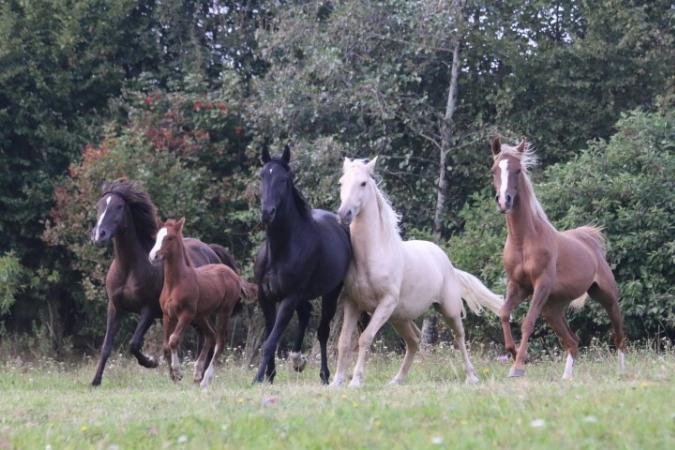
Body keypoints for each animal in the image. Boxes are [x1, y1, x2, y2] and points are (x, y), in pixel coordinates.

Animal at [90, 178, 237, 386]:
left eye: (119, 207)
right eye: (99, 206)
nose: (99, 236)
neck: (130, 267)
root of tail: (211, 249)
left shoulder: (149, 310)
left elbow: (134, 344)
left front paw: (152, 362)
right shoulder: (115, 307)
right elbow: (106, 346)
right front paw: (96, 381)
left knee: (209, 338)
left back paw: (200, 375)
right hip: (197, 315)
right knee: (206, 336)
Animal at [149, 218, 256, 387]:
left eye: (169, 238)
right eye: (156, 237)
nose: (153, 256)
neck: (176, 282)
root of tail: (234, 275)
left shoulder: (186, 314)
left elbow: (173, 340)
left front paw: (178, 372)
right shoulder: (167, 315)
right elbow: (166, 346)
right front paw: (174, 376)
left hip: (223, 311)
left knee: (220, 340)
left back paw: (205, 379)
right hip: (201, 316)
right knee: (211, 335)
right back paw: (198, 372)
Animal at [253, 145, 352, 384]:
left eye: (284, 179)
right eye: (262, 176)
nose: (267, 213)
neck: (280, 250)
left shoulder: (289, 298)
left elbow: (270, 341)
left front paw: (258, 378)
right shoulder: (265, 297)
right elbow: (270, 335)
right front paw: (269, 375)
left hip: (330, 293)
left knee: (323, 330)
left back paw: (323, 374)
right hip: (303, 295)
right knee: (306, 313)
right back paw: (297, 358)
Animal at [331, 157, 504, 387]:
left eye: (363, 183)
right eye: (341, 183)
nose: (344, 214)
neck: (373, 254)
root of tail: (447, 263)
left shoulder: (386, 303)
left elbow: (365, 338)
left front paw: (356, 380)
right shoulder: (352, 303)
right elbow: (344, 341)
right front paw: (336, 382)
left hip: (448, 310)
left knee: (459, 337)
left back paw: (472, 377)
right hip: (399, 317)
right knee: (414, 340)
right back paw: (397, 380)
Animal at [490, 137, 626, 379]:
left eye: (517, 170)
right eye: (494, 170)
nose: (504, 201)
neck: (523, 241)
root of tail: (589, 239)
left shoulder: (540, 285)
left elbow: (527, 322)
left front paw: (518, 367)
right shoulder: (517, 286)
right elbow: (504, 313)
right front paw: (513, 355)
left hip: (607, 296)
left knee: (619, 335)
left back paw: (621, 372)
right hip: (552, 309)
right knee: (573, 342)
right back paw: (566, 377)